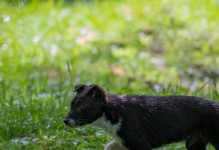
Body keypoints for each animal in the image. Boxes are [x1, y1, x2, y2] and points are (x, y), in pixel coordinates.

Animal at [63, 84, 219, 149]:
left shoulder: (140, 144)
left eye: (81, 106)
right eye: (71, 105)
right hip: (195, 143)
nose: (64, 121)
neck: (116, 112)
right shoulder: (122, 143)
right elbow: (108, 146)